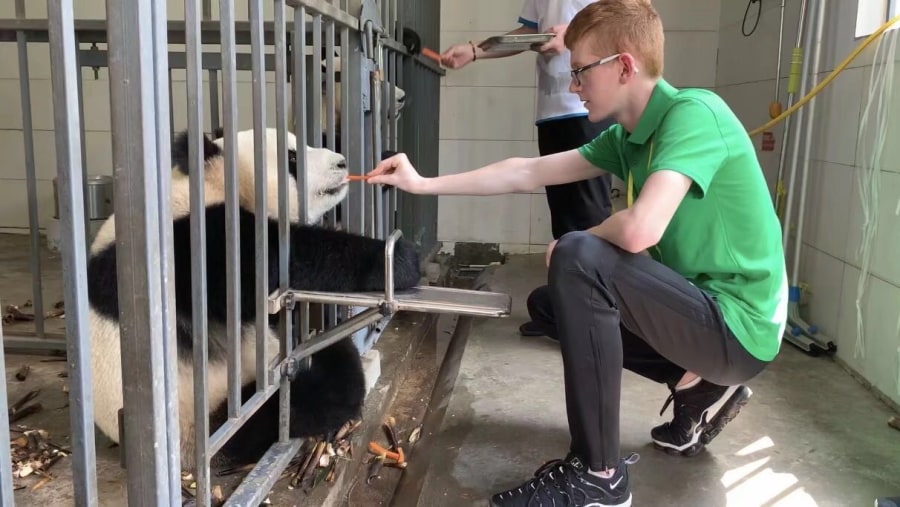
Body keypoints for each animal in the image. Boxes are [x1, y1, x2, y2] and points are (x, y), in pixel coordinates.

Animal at [84, 126, 422, 468]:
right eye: (291, 158)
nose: (341, 163)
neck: (211, 184)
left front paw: (386, 165)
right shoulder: (188, 245)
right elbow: (268, 263)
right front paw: (399, 261)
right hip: (202, 416)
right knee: (307, 400)